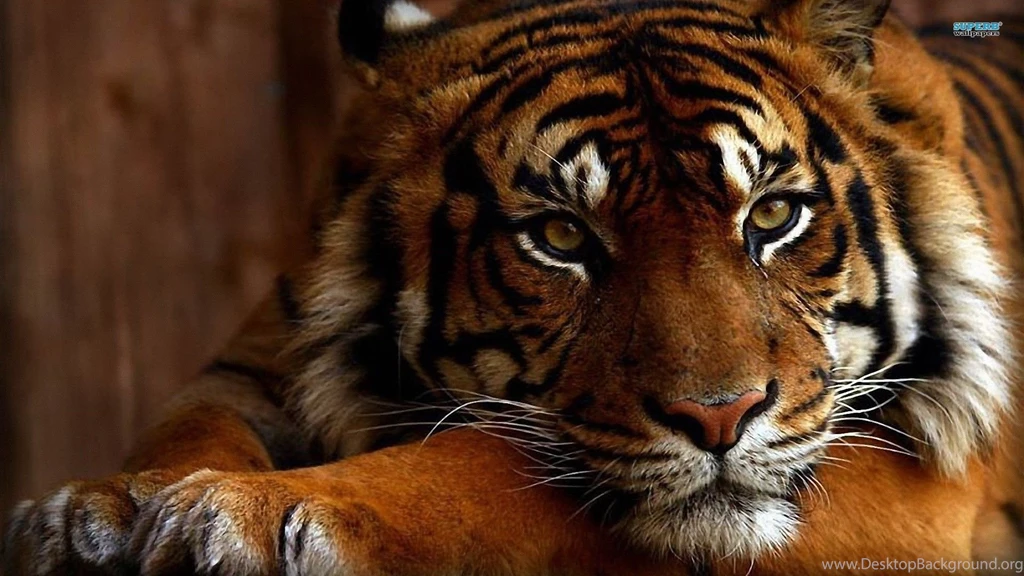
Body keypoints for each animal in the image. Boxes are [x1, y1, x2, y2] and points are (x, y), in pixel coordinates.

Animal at [3, 0, 1023, 574]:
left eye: (772, 216)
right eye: (561, 236)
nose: (721, 417)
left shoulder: (908, 471)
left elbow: (488, 461)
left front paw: (255, 515)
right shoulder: (258, 363)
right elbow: (185, 429)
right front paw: (100, 515)